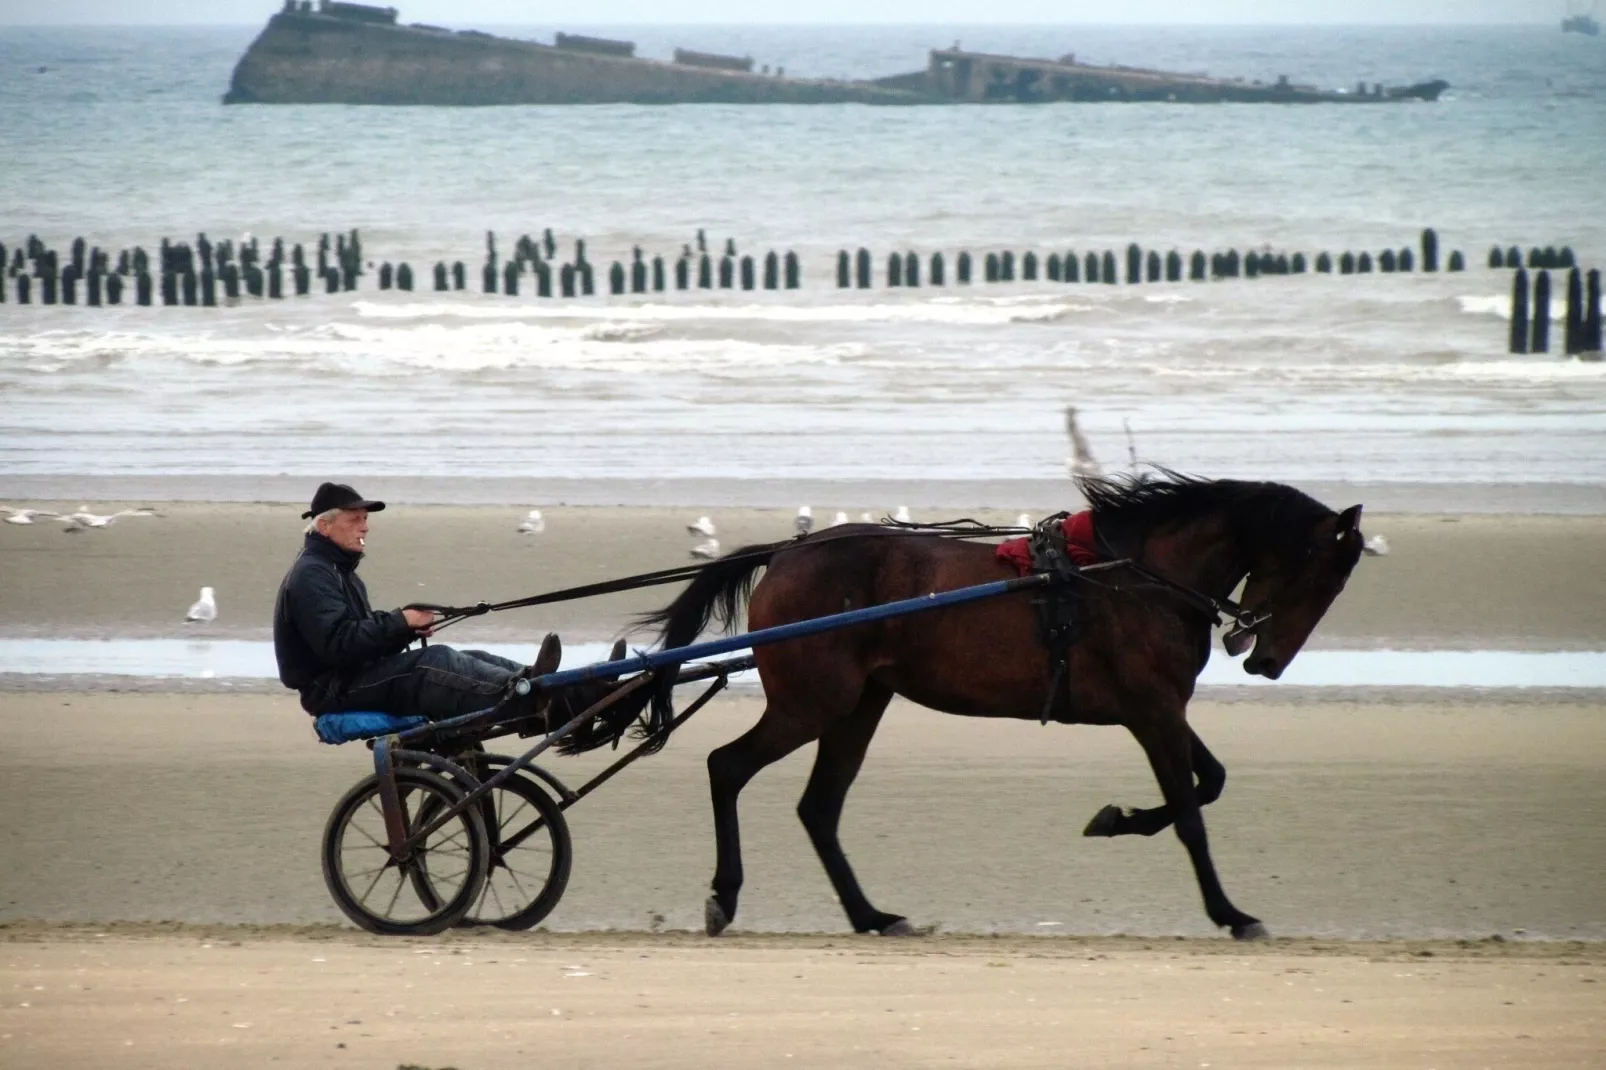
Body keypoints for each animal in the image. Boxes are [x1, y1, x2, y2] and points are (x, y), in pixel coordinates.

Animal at [626, 472, 1368, 931]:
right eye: (1322, 577)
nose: (1268, 662)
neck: (1134, 577)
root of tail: (787, 553)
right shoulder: (1152, 711)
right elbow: (1191, 813)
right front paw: (1230, 914)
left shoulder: (1157, 708)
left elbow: (1209, 779)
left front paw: (1117, 819)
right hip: (814, 702)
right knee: (728, 767)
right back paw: (727, 895)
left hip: (860, 704)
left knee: (819, 807)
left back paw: (871, 916)